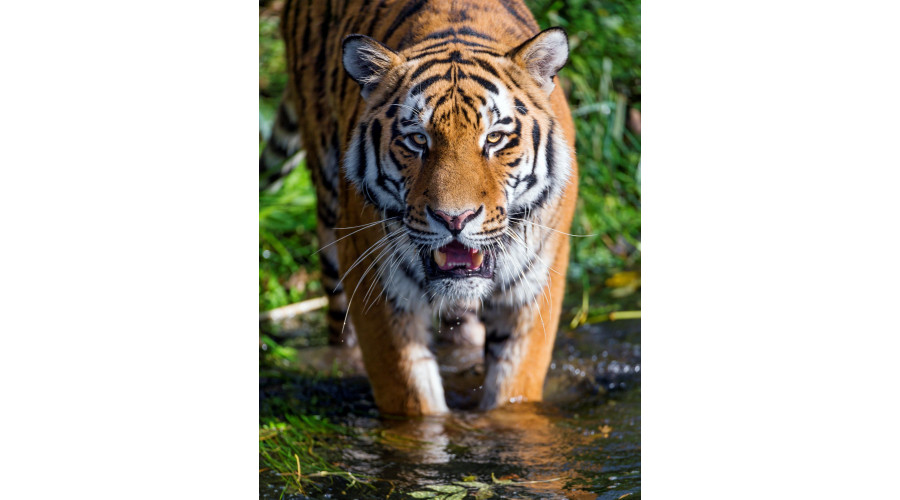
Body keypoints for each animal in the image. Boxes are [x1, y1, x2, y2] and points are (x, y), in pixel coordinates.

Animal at [260, 0, 578, 416]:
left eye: (494, 138)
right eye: (417, 140)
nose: (455, 219)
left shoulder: (534, 287)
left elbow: (514, 389)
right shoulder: (377, 283)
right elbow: (411, 395)